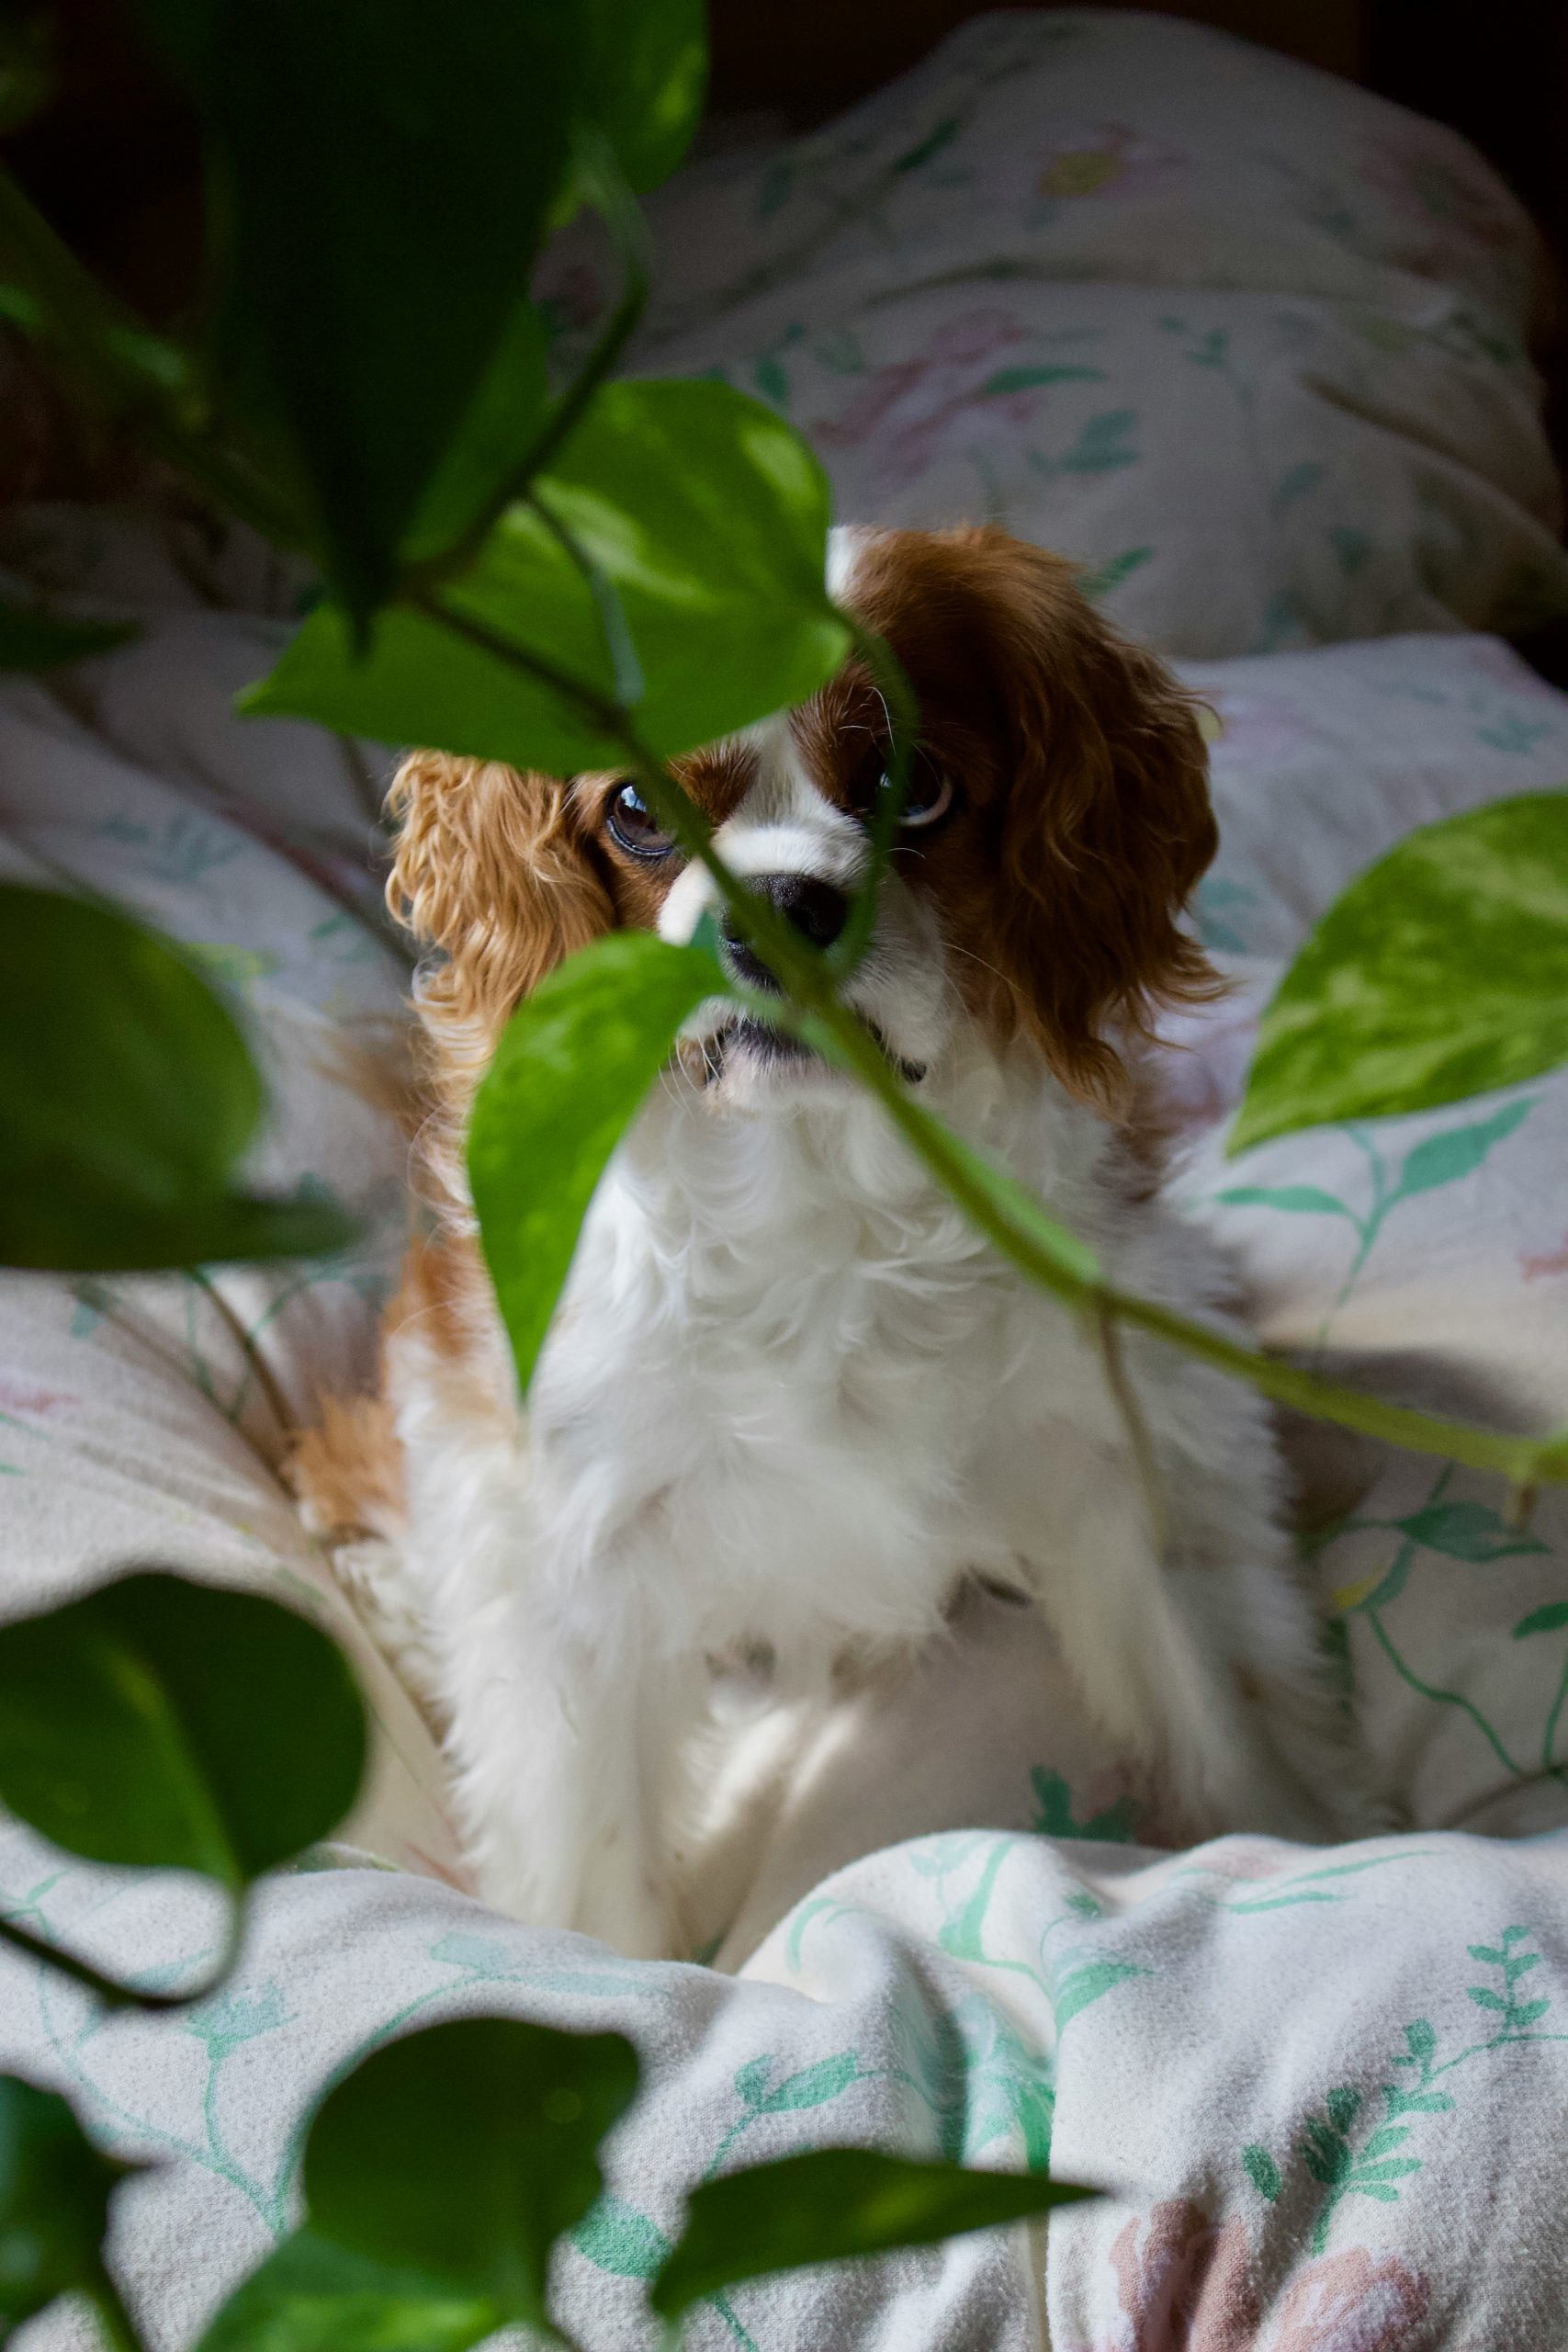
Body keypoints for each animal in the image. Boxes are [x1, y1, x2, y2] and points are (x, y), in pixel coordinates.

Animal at [291, 524, 1363, 1956]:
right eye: (635, 811)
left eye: (915, 792)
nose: (781, 905)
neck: (816, 1187)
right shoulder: (571, 1551)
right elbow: (590, 1858)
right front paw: (626, 1987)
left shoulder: (1124, 1442)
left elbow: (1230, 1717)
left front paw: (1321, 1860)